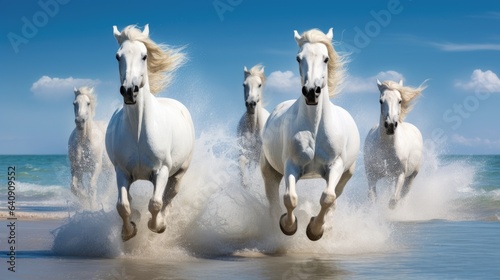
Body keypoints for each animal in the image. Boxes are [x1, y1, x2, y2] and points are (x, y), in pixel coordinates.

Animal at [106, 25, 194, 242]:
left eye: (144, 56)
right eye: (117, 56)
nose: (129, 91)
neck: (139, 131)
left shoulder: (161, 170)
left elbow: (155, 203)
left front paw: (157, 226)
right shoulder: (122, 171)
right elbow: (123, 205)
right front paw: (128, 231)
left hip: (179, 173)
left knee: (169, 196)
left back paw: (162, 221)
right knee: (129, 199)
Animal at [262, 29, 360, 242]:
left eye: (326, 58)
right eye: (299, 58)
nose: (311, 92)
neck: (315, 128)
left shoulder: (335, 166)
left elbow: (327, 197)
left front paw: (315, 230)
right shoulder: (291, 165)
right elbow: (290, 198)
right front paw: (288, 226)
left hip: (346, 175)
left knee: (334, 198)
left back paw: (326, 226)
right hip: (270, 170)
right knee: (272, 198)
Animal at [364, 79, 426, 208]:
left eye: (399, 100)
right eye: (381, 101)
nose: (390, 125)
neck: (385, 147)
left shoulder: (400, 175)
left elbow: (393, 201)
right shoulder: (371, 175)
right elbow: (372, 198)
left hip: (412, 175)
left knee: (404, 195)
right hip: (389, 178)